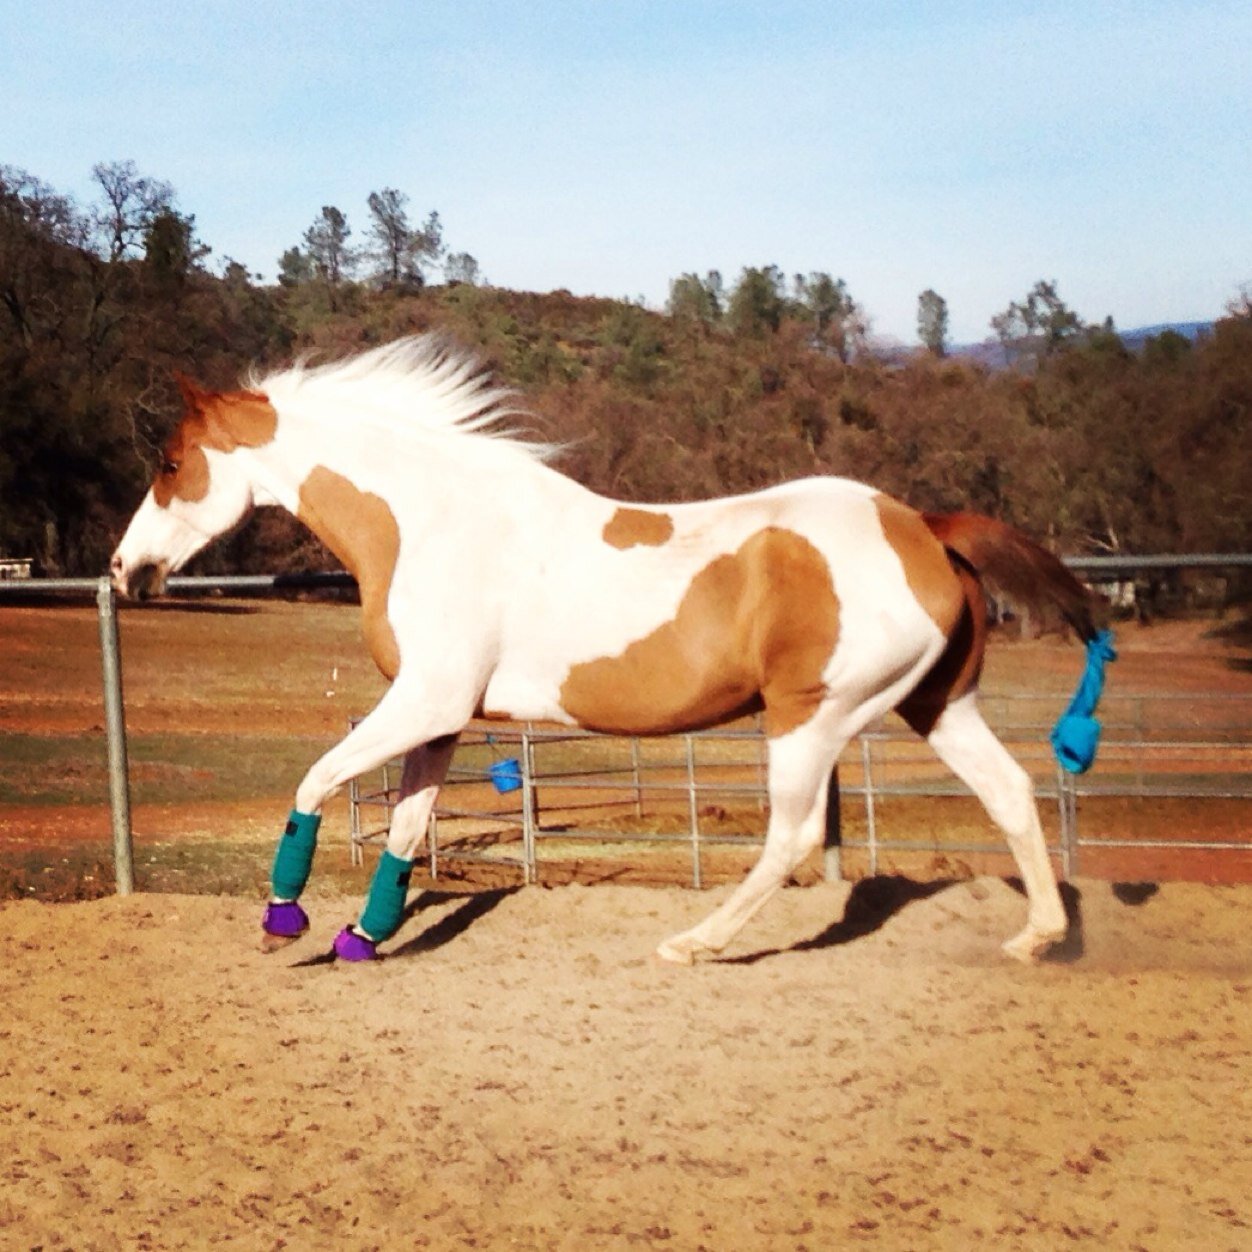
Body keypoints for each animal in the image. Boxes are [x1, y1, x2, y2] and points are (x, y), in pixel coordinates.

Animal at [110, 335, 1097, 964]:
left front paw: (284, 918)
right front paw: (364, 936)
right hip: (937, 705)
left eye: (170, 462)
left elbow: (315, 782)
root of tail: (922, 527)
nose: (125, 571)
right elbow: (406, 826)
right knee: (1012, 794)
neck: (433, 518)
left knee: (792, 836)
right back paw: (1038, 938)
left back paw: (694, 945)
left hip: (811, 718)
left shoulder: (425, 701)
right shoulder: (444, 717)